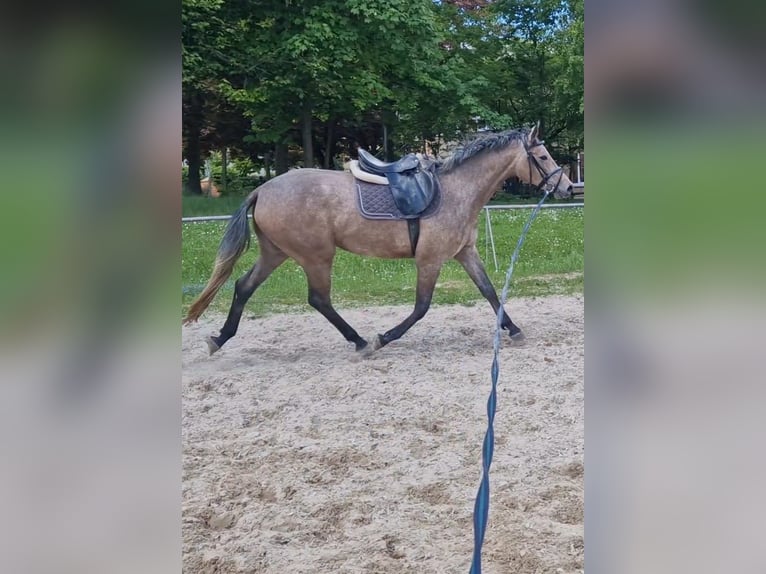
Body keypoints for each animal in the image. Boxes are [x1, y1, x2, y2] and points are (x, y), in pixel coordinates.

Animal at [184, 125, 573, 355]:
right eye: (542, 156)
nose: (567, 187)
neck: (455, 190)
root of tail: (262, 189)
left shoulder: (465, 253)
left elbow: (491, 292)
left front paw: (514, 329)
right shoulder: (430, 260)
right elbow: (421, 307)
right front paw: (385, 337)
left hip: (276, 252)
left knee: (243, 286)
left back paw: (220, 338)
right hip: (316, 256)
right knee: (318, 299)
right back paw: (359, 341)